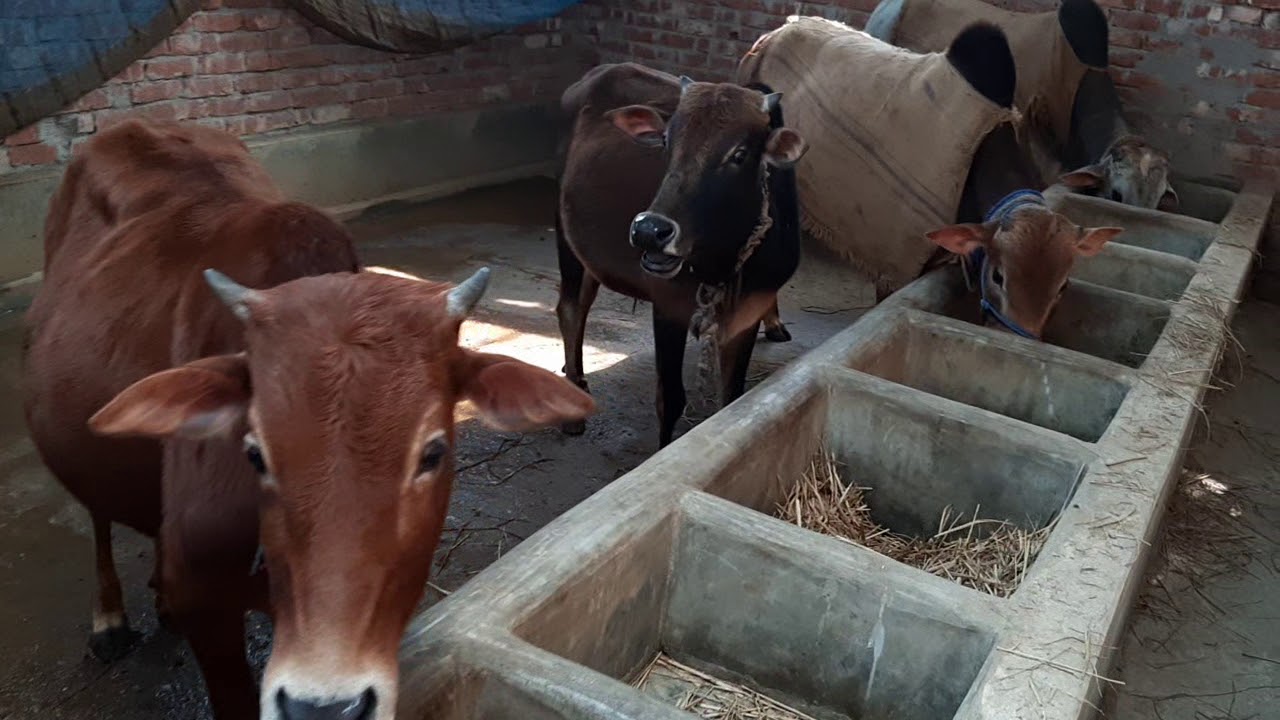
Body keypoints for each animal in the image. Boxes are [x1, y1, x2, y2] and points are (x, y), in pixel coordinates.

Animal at [21, 119, 594, 720]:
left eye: (433, 452)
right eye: (254, 452)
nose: (323, 707)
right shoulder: (208, 606)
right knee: (97, 517)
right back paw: (108, 618)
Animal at [555, 63, 808, 447]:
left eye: (739, 154)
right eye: (666, 141)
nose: (650, 231)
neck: (722, 263)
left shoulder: (747, 311)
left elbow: (732, 398)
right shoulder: (668, 305)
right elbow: (671, 399)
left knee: (583, 301)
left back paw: (579, 379)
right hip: (564, 232)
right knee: (569, 308)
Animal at [738, 18, 1123, 339]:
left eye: (1062, 287)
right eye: (999, 276)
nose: (1018, 338)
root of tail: (775, 33)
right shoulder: (898, 258)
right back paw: (773, 323)